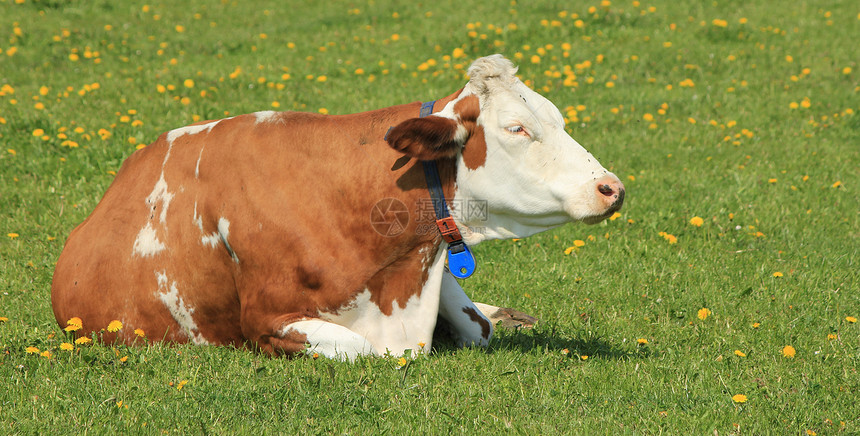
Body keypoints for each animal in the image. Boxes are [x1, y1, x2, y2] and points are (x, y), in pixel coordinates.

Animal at [50, 54, 620, 360]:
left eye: (557, 117)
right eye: (516, 128)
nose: (611, 187)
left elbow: (477, 327)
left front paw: (495, 315)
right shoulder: (266, 321)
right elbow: (364, 349)